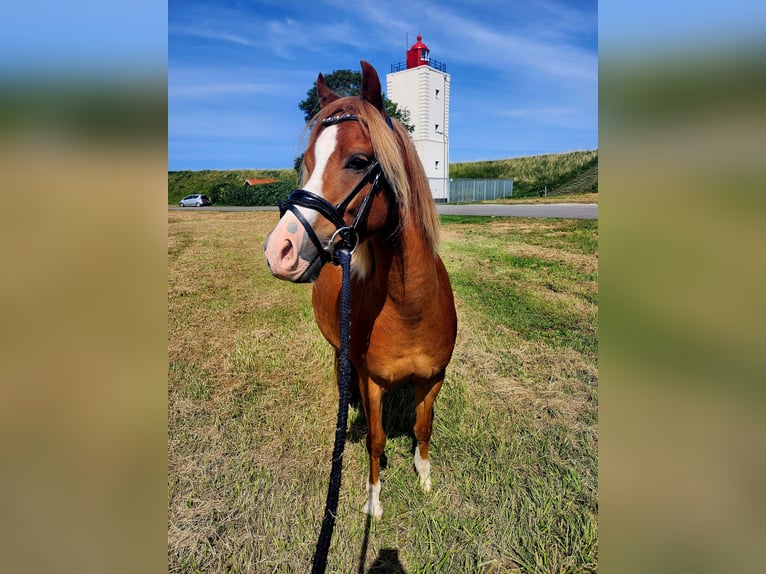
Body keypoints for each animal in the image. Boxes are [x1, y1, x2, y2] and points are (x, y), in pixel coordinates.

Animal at [266, 60, 456, 520]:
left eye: (357, 161)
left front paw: (424, 476)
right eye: (308, 161)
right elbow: (376, 438)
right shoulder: (373, 384)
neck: (410, 306)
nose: (279, 250)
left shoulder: (434, 379)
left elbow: (423, 427)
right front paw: (374, 499)